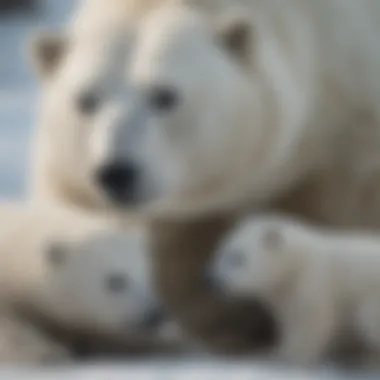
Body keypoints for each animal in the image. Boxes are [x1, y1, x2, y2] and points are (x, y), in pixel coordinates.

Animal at [209, 214, 380, 368]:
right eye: (219, 251)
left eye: (237, 258)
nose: (211, 279)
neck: (295, 263)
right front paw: (276, 351)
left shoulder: (313, 281)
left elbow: (310, 321)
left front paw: (287, 358)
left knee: (367, 320)